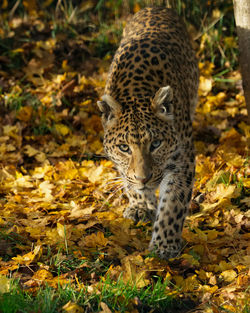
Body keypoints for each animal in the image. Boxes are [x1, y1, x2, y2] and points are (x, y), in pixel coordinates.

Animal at [96, 6, 198, 258]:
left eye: (156, 144)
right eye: (124, 148)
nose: (144, 178)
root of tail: (155, 6)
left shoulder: (183, 160)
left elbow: (173, 204)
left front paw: (164, 246)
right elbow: (128, 178)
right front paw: (142, 206)